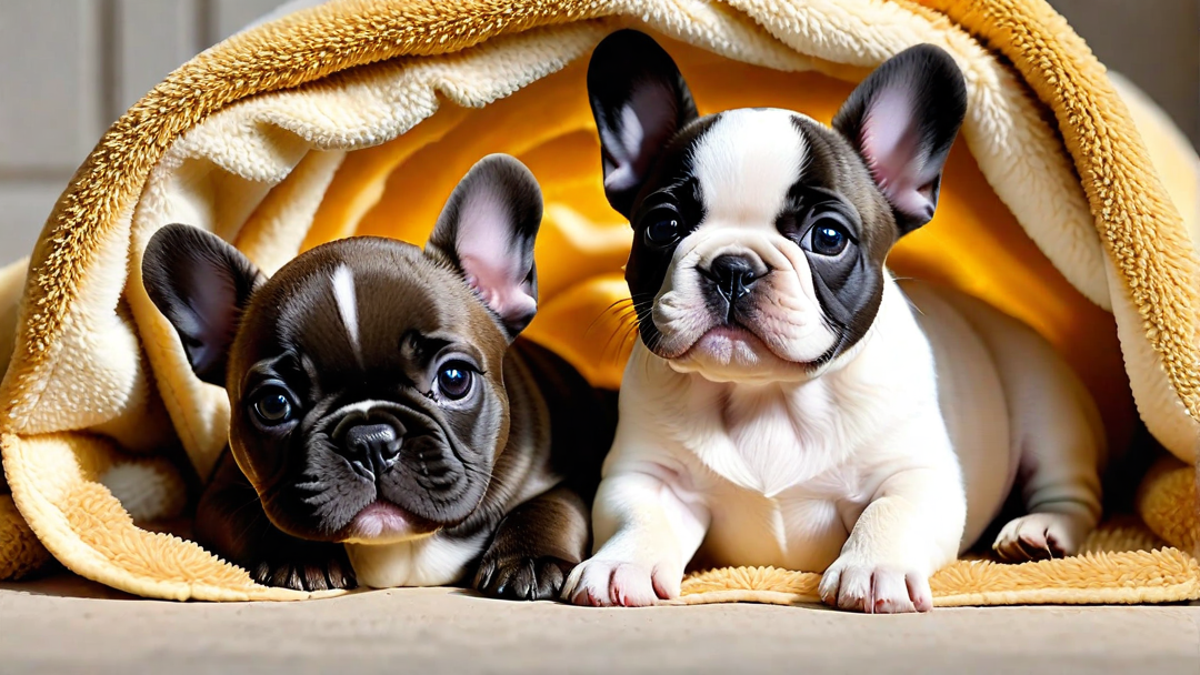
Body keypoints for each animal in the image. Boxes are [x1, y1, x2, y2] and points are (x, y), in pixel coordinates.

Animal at [144, 153, 614, 598]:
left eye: (454, 379)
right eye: (273, 404)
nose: (369, 441)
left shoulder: (567, 477)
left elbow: (552, 507)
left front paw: (531, 558)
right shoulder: (219, 497)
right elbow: (256, 520)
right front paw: (302, 556)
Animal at [561, 30, 1104, 610]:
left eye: (827, 238)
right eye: (662, 227)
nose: (733, 267)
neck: (766, 397)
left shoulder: (917, 475)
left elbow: (890, 512)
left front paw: (874, 568)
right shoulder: (647, 476)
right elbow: (639, 517)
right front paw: (620, 564)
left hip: (1048, 413)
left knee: (1072, 493)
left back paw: (1038, 531)